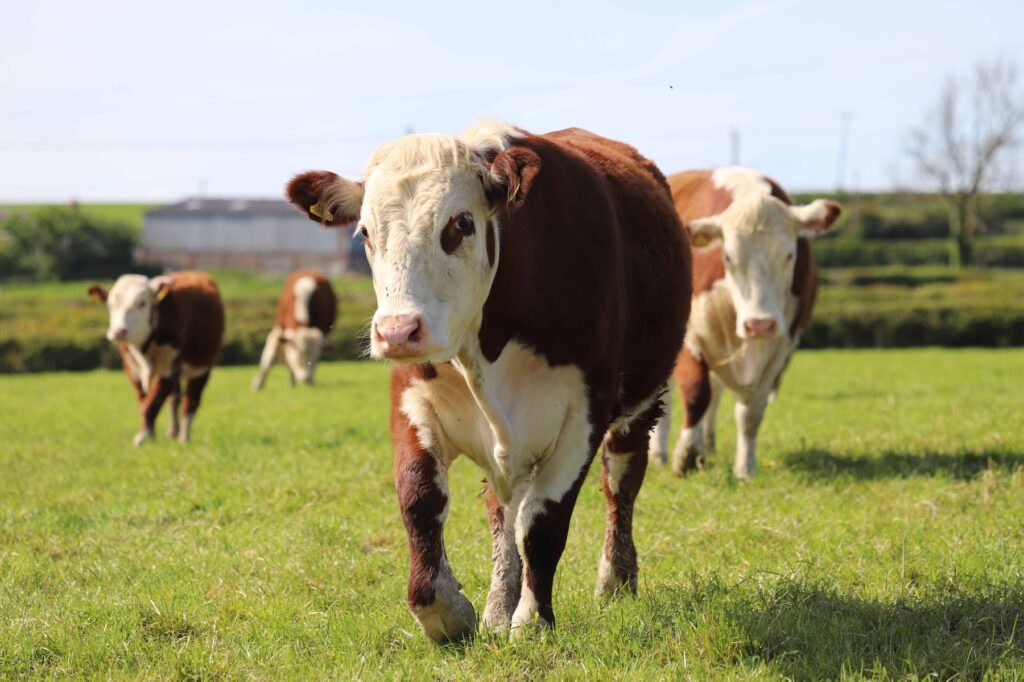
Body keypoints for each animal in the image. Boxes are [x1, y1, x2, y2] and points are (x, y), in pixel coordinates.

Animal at [88, 270, 224, 446]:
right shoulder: (132, 369)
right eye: (111, 305)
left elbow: (152, 402)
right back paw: (173, 432)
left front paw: (143, 438)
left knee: (190, 402)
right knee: (174, 399)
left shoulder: (169, 368)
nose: (118, 331)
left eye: (141, 303)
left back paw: (183, 438)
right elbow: (145, 401)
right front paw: (149, 433)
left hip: (202, 368)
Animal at [284, 123, 692, 643]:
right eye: (366, 232)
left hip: (640, 404)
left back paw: (616, 581)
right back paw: (500, 603)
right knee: (504, 512)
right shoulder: (413, 400)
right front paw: (450, 612)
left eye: (461, 223)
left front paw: (533, 621)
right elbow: (421, 499)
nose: (396, 331)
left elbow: (542, 523)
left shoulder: (584, 416)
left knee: (621, 481)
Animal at [647, 167, 839, 477]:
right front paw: (687, 455)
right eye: (728, 256)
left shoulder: (783, 345)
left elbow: (750, 411)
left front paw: (745, 468)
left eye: (789, 255)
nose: (759, 324)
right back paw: (660, 453)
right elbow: (696, 394)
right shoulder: (691, 337)